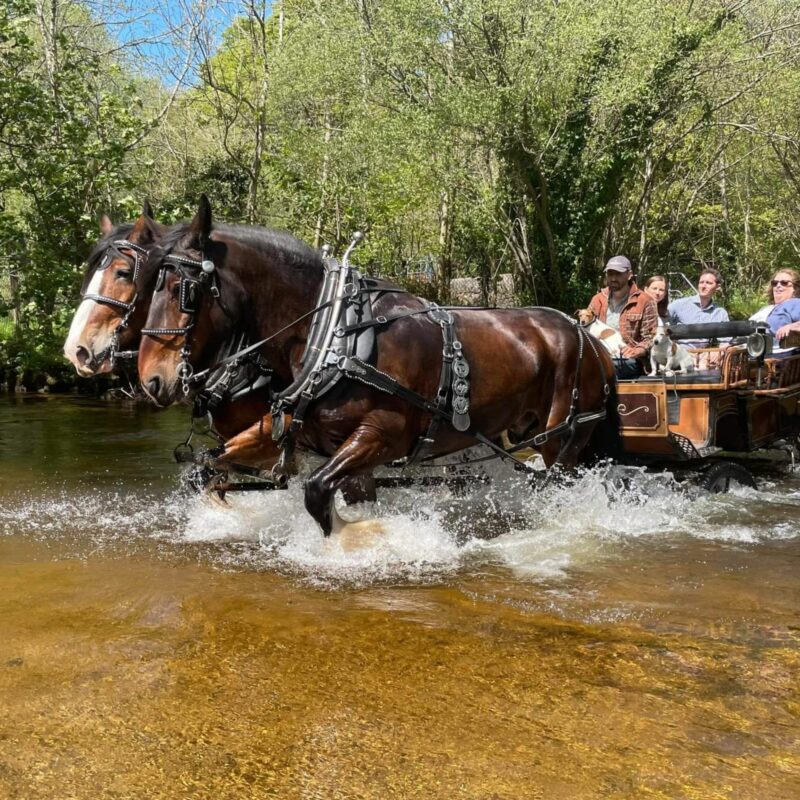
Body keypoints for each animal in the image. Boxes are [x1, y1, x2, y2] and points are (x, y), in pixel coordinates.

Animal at [139, 198, 624, 536]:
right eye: (148, 286)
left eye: (184, 291)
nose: (152, 380)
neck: (335, 335)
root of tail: (592, 342)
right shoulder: (302, 435)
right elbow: (206, 467)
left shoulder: (384, 436)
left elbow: (316, 492)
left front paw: (362, 539)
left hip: (561, 441)